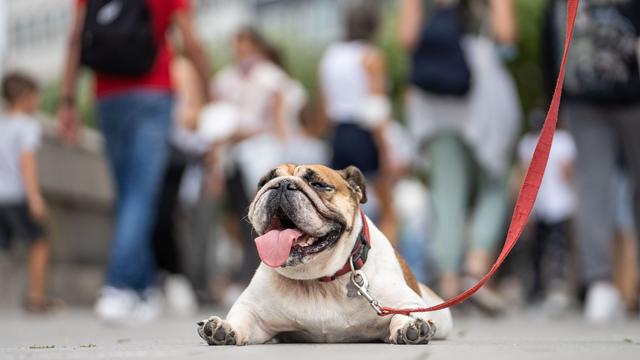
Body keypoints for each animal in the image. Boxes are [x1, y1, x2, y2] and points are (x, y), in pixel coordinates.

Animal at [198, 165, 452, 344]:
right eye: (263, 182)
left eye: (319, 184)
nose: (281, 185)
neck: (319, 280)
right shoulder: (252, 310)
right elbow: (241, 319)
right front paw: (224, 328)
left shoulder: (406, 302)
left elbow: (403, 314)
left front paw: (410, 327)